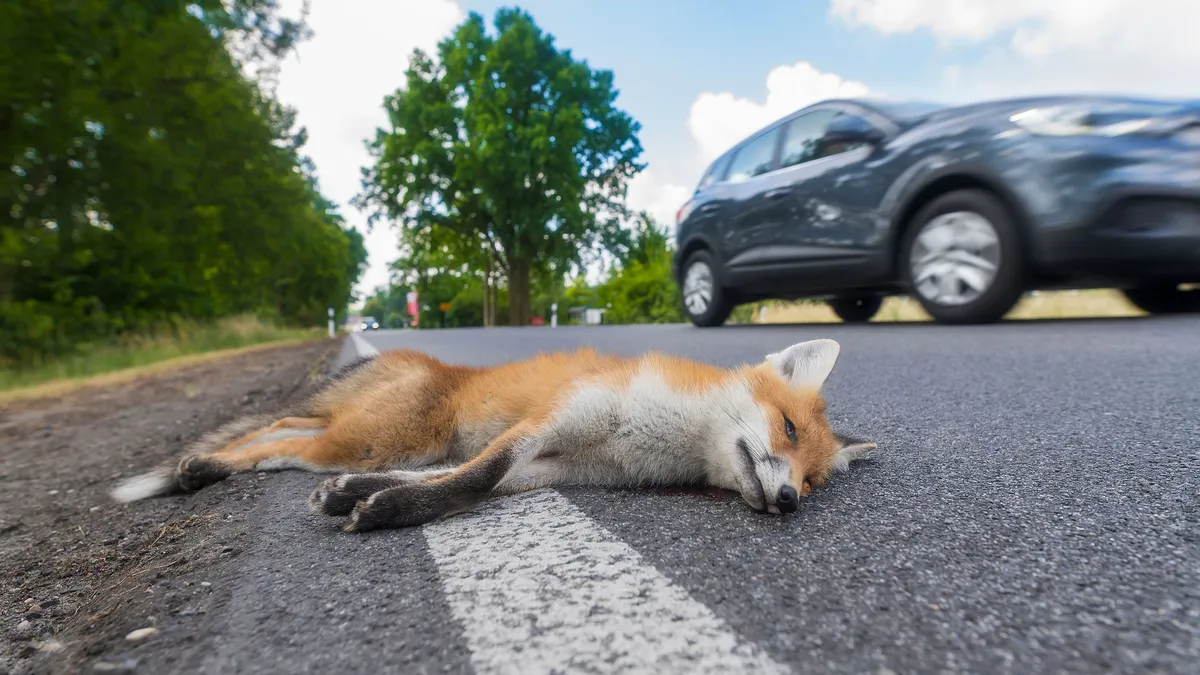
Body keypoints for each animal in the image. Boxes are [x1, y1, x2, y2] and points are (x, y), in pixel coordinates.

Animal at [110, 339, 877, 532]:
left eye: (812, 480)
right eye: (786, 428)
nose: (789, 501)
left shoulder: (559, 466)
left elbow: (459, 485)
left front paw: (358, 499)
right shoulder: (551, 422)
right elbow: (475, 476)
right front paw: (385, 512)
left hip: (370, 437)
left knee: (282, 435)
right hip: (382, 434)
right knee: (273, 444)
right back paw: (198, 469)